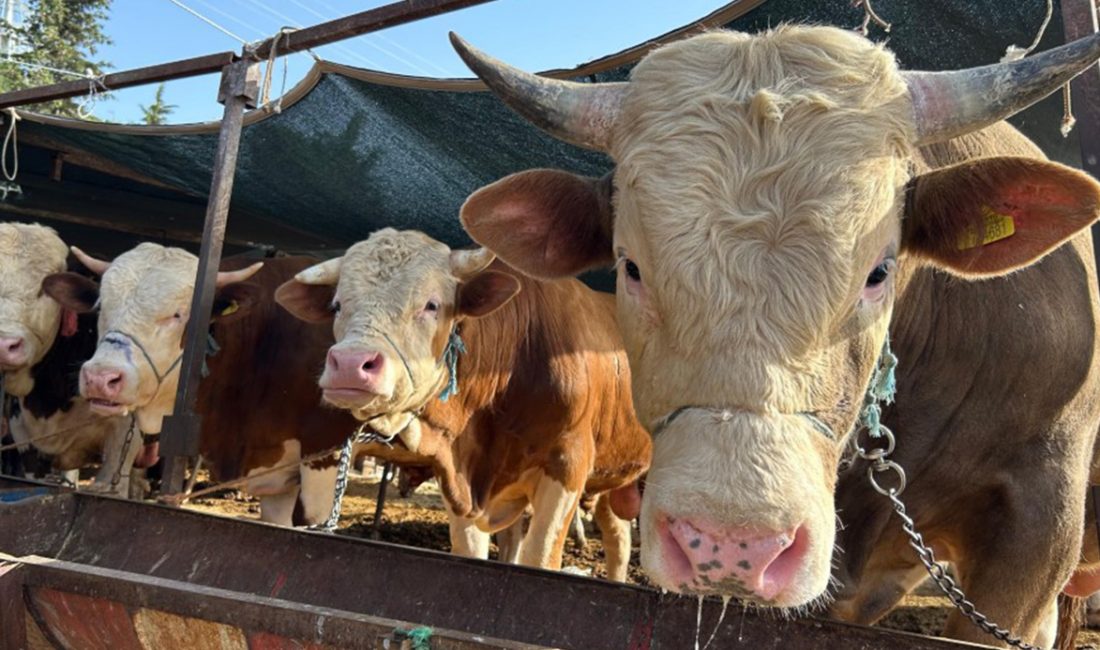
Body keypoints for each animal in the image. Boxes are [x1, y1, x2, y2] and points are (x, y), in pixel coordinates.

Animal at [275, 228, 651, 580]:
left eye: (431, 304)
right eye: (337, 305)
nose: (351, 364)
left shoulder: (568, 463)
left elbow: (540, 556)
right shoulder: (456, 477)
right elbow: (471, 553)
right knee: (618, 537)